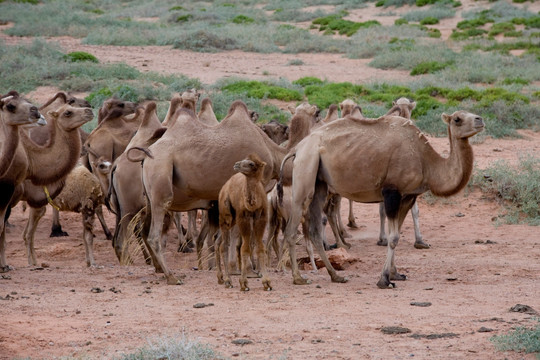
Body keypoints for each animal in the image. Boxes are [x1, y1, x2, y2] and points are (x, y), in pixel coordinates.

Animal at [217, 153, 272, 292]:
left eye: (251, 163)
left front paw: (267, 283)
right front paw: (244, 283)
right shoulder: (243, 219)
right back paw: (227, 281)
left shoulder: (261, 218)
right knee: (223, 246)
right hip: (225, 216)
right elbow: (245, 248)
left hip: (233, 220)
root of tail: (224, 187)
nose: (236, 164)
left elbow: (260, 248)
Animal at [280, 111, 484, 288]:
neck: (426, 161)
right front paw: (384, 280)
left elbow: (397, 233)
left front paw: (396, 274)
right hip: (306, 167)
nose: (480, 119)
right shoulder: (391, 192)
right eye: (457, 119)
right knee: (292, 228)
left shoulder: (407, 196)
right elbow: (393, 237)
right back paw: (298, 278)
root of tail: (297, 148)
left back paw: (336, 276)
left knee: (314, 229)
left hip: (320, 182)